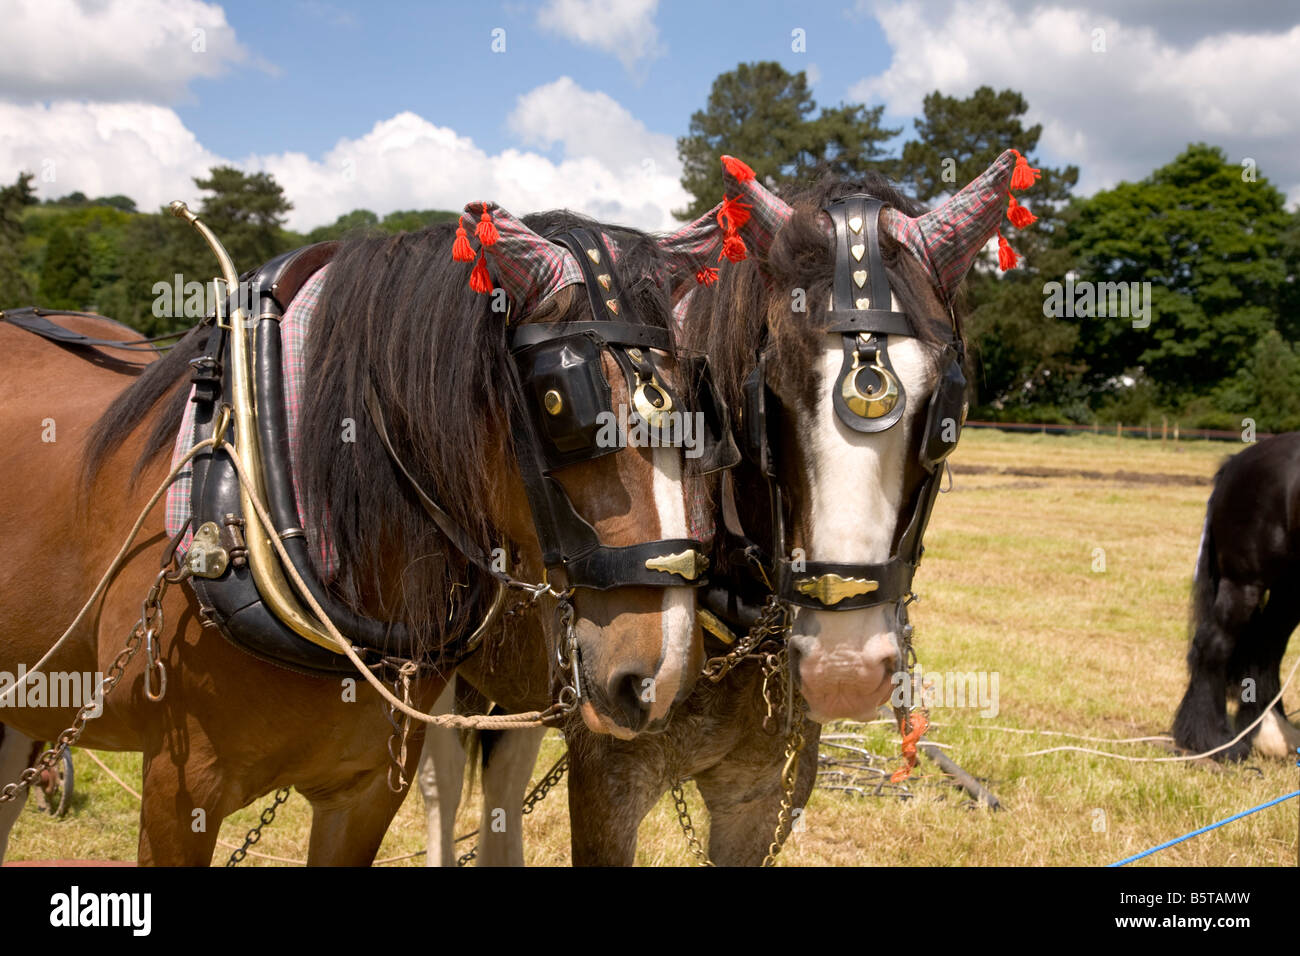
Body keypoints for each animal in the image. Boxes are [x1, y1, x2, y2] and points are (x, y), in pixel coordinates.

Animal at [416, 149, 1034, 865]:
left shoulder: (763, 794)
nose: (844, 666)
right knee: (444, 780)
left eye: (945, 412)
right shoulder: (606, 783)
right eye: (773, 392)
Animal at [1172, 432, 1300, 761]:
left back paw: (1272, 732)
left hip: (1290, 588)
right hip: (1245, 583)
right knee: (1215, 644)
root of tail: (1237, 462)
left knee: (1267, 647)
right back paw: (1215, 741)